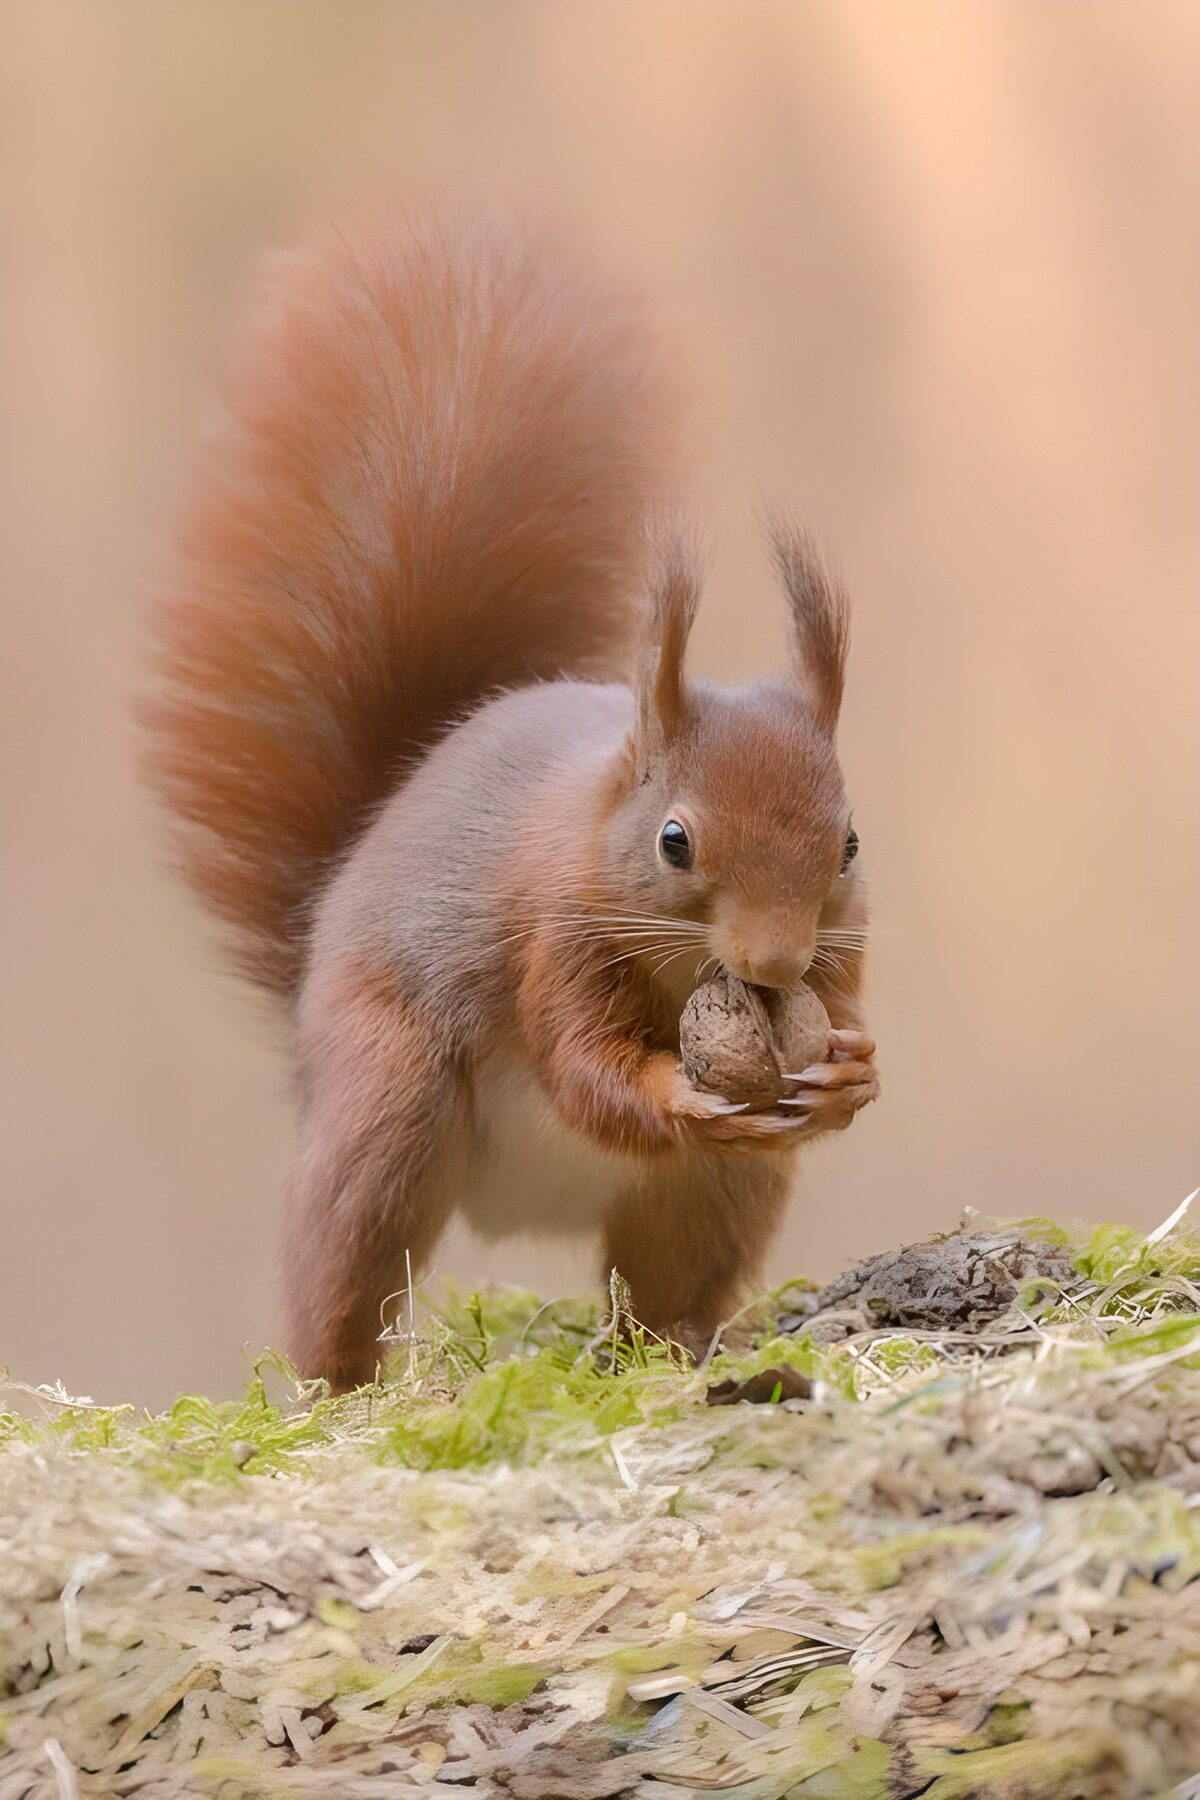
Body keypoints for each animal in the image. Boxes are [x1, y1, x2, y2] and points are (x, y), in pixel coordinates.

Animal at [144, 206, 878, 1390]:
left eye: (850, 843)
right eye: (675, 841)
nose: (774, 966)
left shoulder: (843, 947)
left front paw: (851, 1072)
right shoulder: (554, 936)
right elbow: (585, 1073)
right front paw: (682, 1091)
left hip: (712, 1193)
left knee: (660, 1288)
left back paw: (683, 1344)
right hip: (388, 1102)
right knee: (345, 1261)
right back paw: (339, 1390)